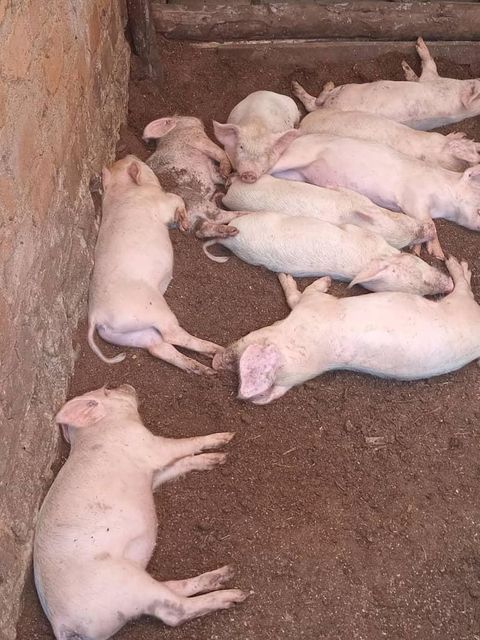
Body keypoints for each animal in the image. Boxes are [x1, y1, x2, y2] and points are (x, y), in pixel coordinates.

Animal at [34, 384, 247, 639]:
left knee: (173, 589)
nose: (127, 385)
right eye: (106, 391)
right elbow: (185, 445)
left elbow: (180, 464)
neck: (97, 430)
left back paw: (227, 572)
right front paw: (227, 436)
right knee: (175, 612)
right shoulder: (150, 445)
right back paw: (235, 595)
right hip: (127, 582)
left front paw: (219, 458)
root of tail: (62, 624)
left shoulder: (153, 474)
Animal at [88, 155, 222, 374]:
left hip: (130, 334)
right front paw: (184, 224)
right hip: (154, 310)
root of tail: (96, 316)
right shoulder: (162, 200)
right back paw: (217, 350)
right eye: (135, 164)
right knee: (172, 335)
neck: (121, 189)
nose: (132, 155)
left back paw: (204, 369)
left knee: (158, 348)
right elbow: (178, 200)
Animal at [213, 256, 480, 404]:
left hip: (461, 303)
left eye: (246, 341)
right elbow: (298, 296)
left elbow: (299, 295)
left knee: (463, 287)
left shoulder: (314, 305)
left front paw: (301, 278)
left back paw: (458, 264)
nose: (217, 361)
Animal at [270, 133, 480, 259]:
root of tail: (299, 139)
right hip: (299, 155)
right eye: (479, 207)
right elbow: (430, 223)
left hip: (296, 173)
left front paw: (424, 252)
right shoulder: (414, 198)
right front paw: (437, 254)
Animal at [291, 37, 480, 131]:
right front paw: (405, 65)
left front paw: (419, 42)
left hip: (343, 90)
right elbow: (418, 74)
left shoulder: (431, 78)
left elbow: (429, 63)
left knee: (313, 102)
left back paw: (307, 85)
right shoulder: (428, 80)